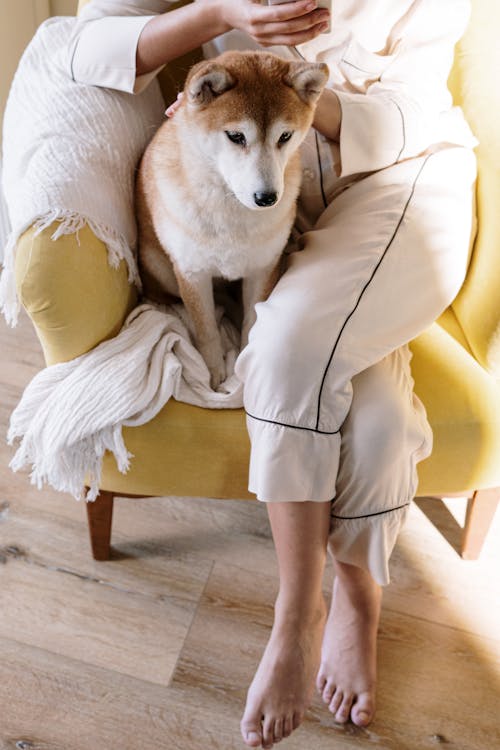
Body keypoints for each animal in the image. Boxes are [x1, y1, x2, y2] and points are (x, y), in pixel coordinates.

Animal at [135, 49, 328, 388]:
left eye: (285, 136)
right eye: (236, 136)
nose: (266, 198)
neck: (231, 212)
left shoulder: (262, 268)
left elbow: (252, 323)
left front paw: (241, 369)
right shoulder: (192, 274)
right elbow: (206, 330)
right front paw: (214, 374)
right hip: (159, 266)